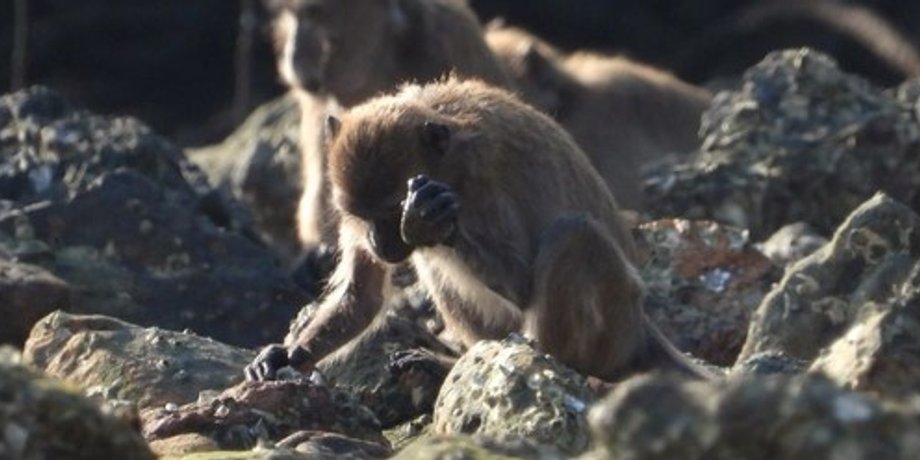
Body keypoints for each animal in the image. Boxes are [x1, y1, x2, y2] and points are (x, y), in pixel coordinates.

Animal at [245, 78, 707, 382]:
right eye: (360, 215)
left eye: (391, 212)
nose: (377, 242)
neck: (449, 161)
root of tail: (640, 327)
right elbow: (363, 295)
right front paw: (287, 357)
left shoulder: (482, 189)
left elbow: (523, 283)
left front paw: (424, 220)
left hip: (612, 324)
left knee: (573, 233)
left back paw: (556, 364)